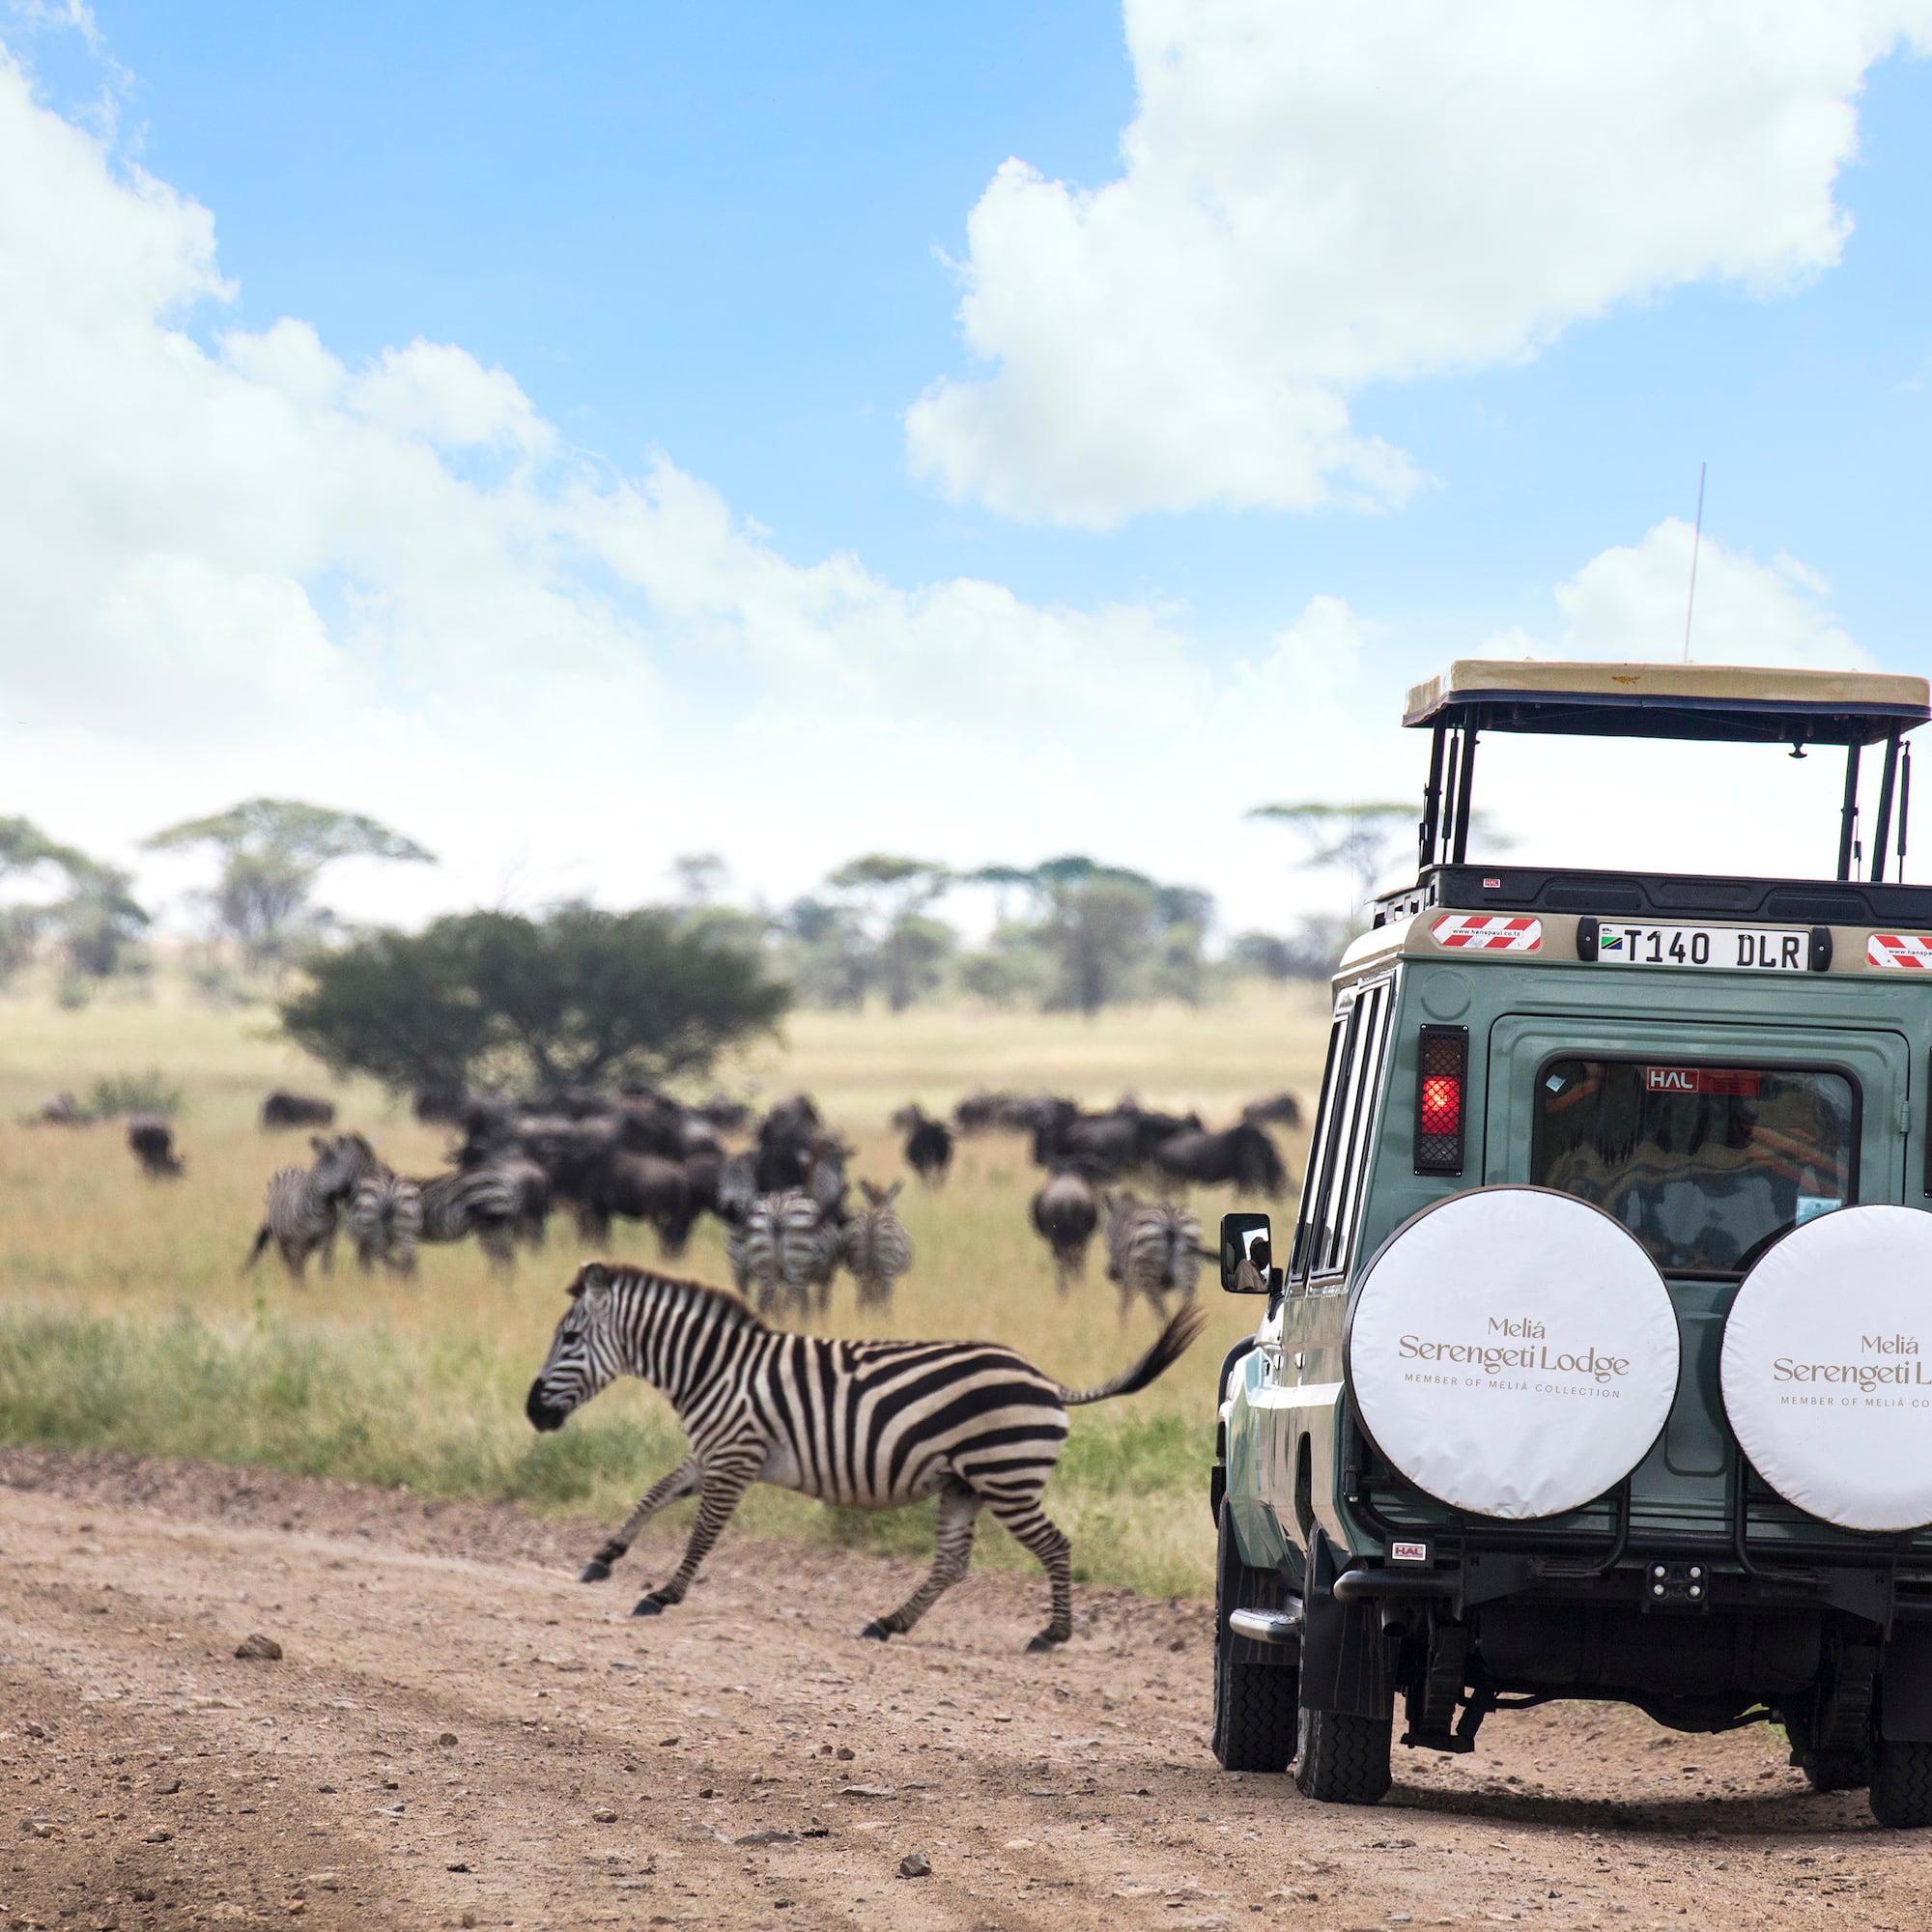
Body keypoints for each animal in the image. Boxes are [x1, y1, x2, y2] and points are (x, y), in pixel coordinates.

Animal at [242, 1133, 379, 1283]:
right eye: (360, 1168)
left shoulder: (328, 1238)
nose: (349, 1192)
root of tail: (291, 1166)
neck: (320, 1209)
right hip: (282, 1235)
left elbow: (325, 1265)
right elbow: (298, 1266)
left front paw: (326, 1282)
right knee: (286, 1258)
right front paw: (301, 1285)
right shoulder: (298, 1240)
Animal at [526, 1263, 1208, 1649]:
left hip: (1005, 1478)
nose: (533, 1412)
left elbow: (702, 1535)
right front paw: (604, 1558)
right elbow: (655, 1491)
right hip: (964, 1483)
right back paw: (889, 1623)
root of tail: (1047, 1382)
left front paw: (664, 1593)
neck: (712, 1370)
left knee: (1056, 1547)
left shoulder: (735, 1455)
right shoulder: (715, 1453)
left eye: (570, 1337)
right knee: (951, 1564)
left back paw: (1052, 1634)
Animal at [841, 1178, 913, 1309]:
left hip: (860, 1265)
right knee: (885, 1302)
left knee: (862, 1299)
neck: (878, 1205)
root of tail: (872, 1219)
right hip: (888, 1269)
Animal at [1103, 1190, 1204, 1316]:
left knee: (1161, 1312)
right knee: (1187, 1306)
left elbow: (1123, 1309)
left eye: (1107, 1233)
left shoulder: (1128, 1279)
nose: (1113, 1274)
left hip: (1149, 1276)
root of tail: (1170, 1219)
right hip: (1189, 1271)